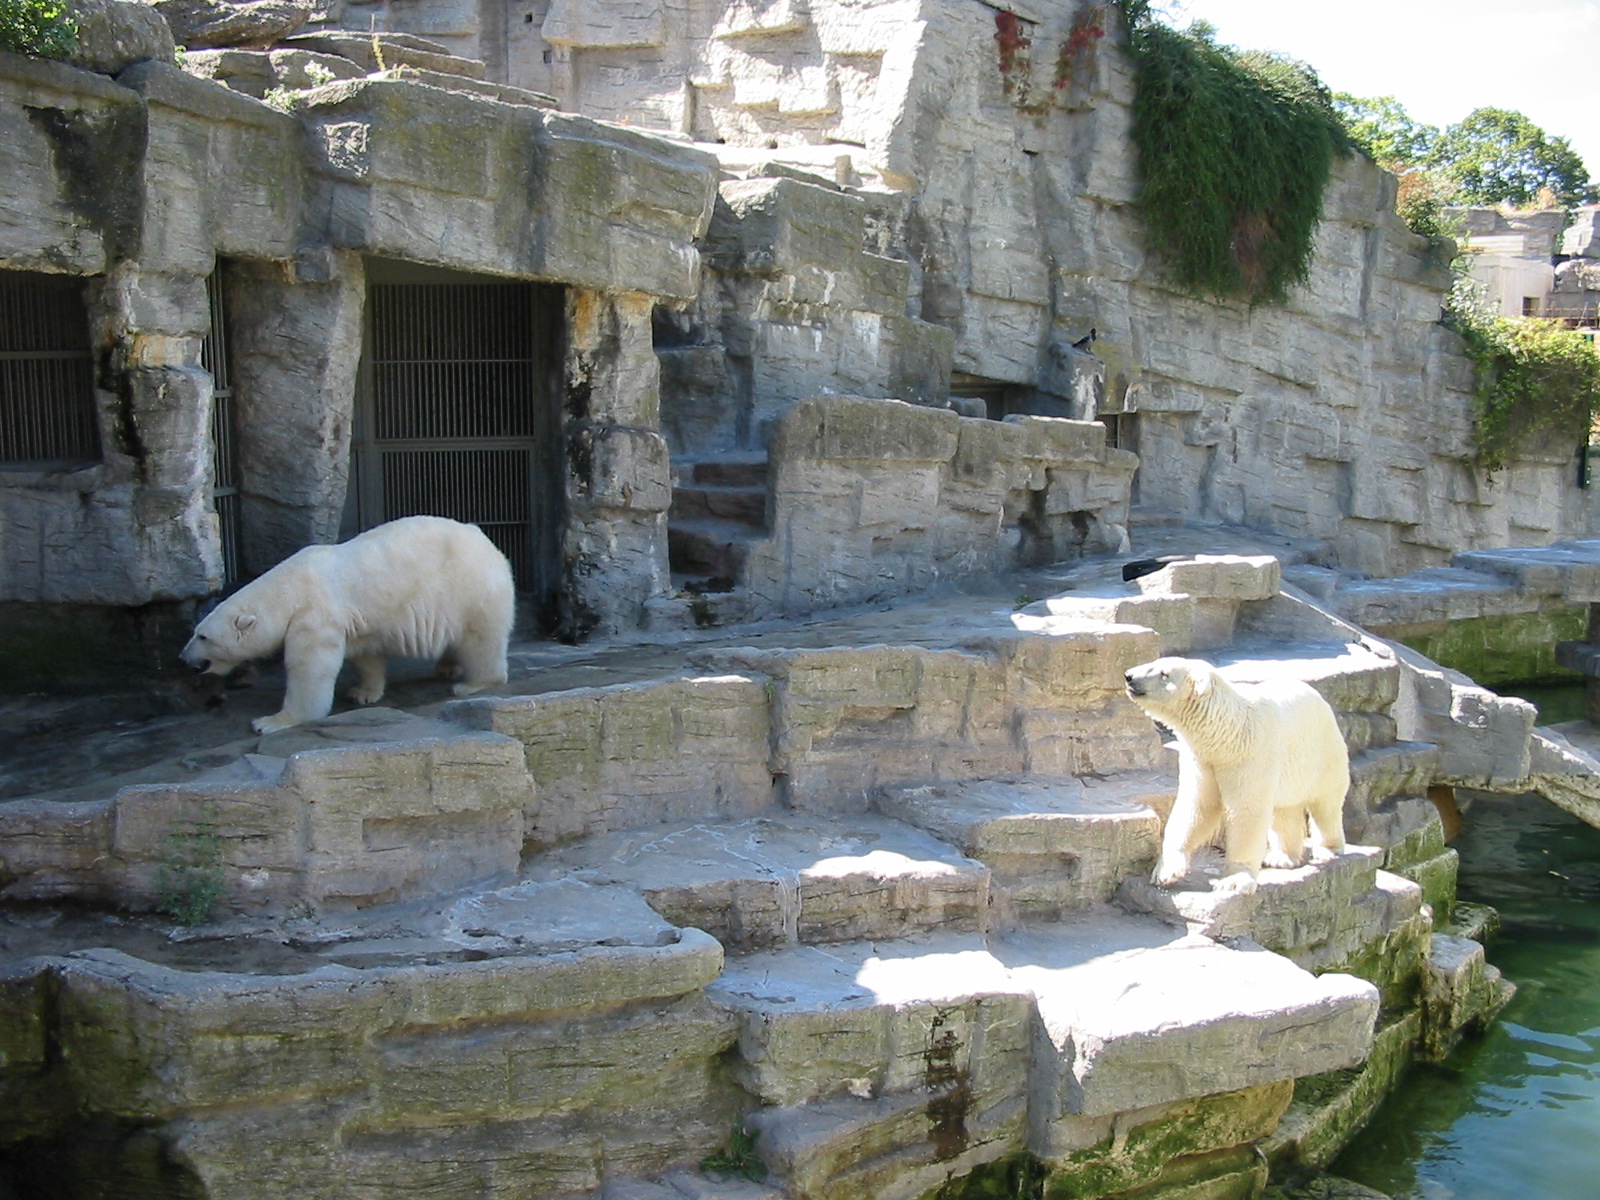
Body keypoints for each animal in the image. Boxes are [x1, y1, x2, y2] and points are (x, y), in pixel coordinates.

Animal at [181, 515, 515, 735]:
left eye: (203, 636)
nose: (184, 659)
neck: (288, 590)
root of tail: (484, 539)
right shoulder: (357, 622)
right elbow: (365, 655)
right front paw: (362, 693)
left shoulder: (314, 615)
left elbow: (310, 670)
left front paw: (269, 722)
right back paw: (447, 667)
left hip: (470, 588)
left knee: (481, 640)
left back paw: (472, 683)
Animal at [1123, 656, 1349, 893]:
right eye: (1154, 663)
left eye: (1164, 674)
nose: (1129, 675)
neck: (1229, 731)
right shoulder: (1203, 760)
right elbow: (1197, 805)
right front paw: (1166, 871)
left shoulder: (1251, 755)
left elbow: (1246, 810)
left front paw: (1234, 880)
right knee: (1284, 810)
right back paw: (1281, 857)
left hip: (1324, 752)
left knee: (1326, 804)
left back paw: (1328, 849)